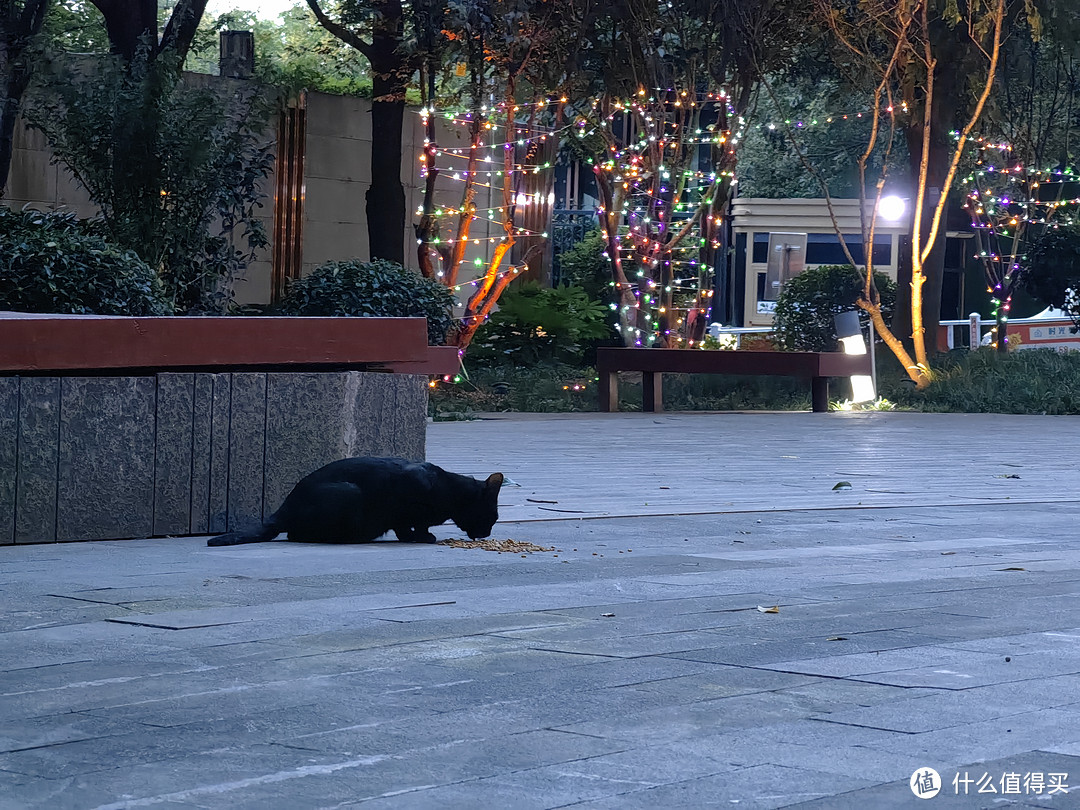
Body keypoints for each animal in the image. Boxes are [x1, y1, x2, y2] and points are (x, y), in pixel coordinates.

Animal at [205, 460, 501, 548]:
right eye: (493, 518)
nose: (487, 533)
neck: (449, 490)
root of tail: (282, 510)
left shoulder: (402, 517)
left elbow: (406, 528)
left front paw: (416, 536)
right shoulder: (407, 498)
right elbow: (414, 525)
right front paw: (424, 537)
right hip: (349, 493)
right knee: (297, 534)